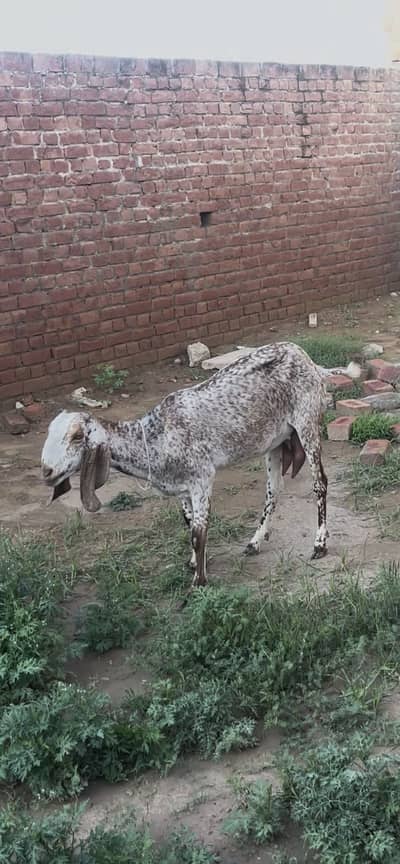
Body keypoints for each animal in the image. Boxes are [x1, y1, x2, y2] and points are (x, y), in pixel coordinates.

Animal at [41, 342, 358, 589]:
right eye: (49, 433)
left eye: (77, 436)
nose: (47, 471)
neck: (155, 436)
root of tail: (311, 362)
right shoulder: (182, 488)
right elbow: (188, 522)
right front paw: (194, 564)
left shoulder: (202, 479)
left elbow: (199, 532)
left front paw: (199, 583)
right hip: (274, 442)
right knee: (273, 490)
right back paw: (255, 541)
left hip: (307, 424)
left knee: (320, 483)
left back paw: (319, 544)